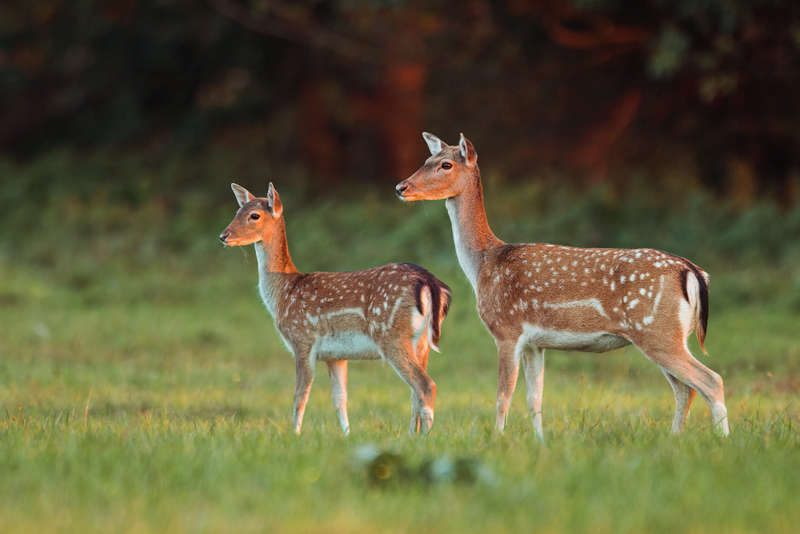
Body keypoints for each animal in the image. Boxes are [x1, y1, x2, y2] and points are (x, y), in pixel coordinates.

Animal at [220, 183, 450, 436]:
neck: (284, 292)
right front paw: (347, 435)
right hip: (421, 343)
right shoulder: (335, 355)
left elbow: (300, 396)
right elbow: (340, 399)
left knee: (425, 385)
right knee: (414, 392)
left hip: (391, 334)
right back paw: (412, 435)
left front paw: (294, 435)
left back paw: (424, 437)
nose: (223, 236)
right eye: (237, 211)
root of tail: (430, 282)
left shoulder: (303, 340)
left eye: (254, 215)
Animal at [396, 133, 732, 440]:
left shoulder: (506, 329)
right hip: (666, 334)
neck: (484, 263)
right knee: (685, 389)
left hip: (657, 331)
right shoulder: (535, 342)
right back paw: (675, 438)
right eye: (427, 159)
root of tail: (692, 271)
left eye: (446, 164)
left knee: (710, 380)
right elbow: (534, 398)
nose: (401, 187)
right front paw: (540, 442)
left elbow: (503, 395)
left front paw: (497, 440)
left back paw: (723, 439)